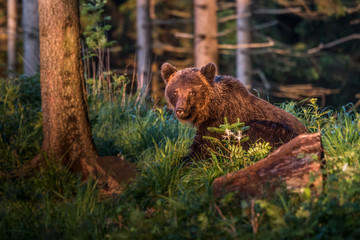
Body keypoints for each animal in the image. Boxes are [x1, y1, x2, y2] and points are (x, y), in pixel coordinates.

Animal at [162, 62, 308, 158]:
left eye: (191, 92)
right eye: (175, 92)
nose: (180, 109)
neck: (211, 109)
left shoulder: (219, 123)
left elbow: (203, 149)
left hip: (278, 132)